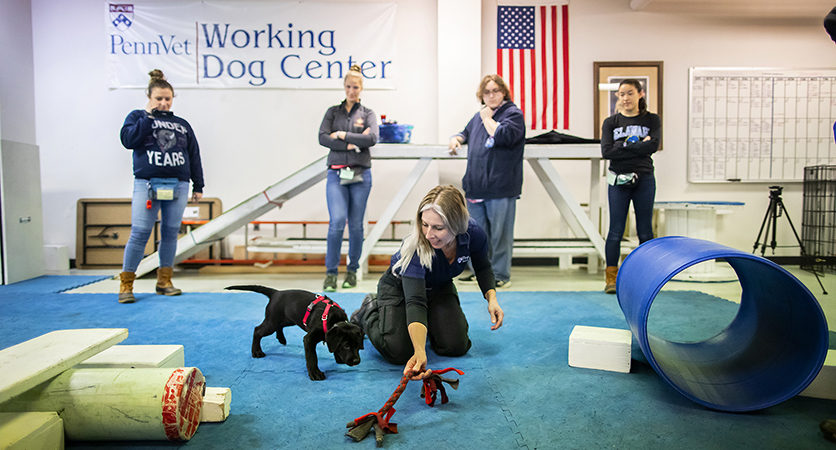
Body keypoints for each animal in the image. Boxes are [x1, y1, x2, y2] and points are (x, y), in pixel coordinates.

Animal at [224, 284, 364, 380]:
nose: (356, 361)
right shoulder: (309, 339)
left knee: (279, 326)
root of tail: (276, 293)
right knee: (257, 330)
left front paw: (338, 358)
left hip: (287, 319)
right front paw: (315, 373)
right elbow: (312, 357)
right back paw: (256, 351)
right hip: (272, 322)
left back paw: (281, 339)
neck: (332, 320)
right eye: (346, 346)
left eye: (359, 347)